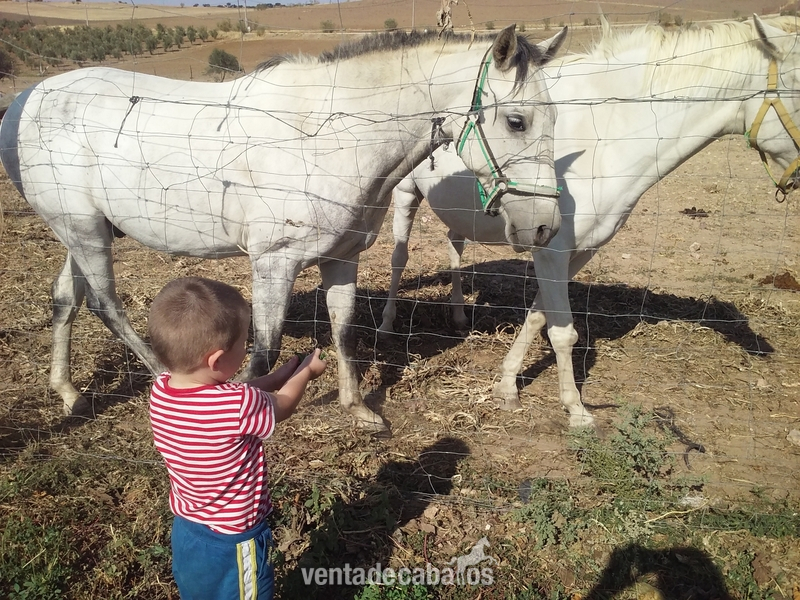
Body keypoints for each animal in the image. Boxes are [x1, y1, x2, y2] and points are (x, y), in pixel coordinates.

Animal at [0, 25, 568, 432]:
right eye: (516, 121)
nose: (544, 226)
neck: (328, 134)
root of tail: (28, 99)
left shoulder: (342, 257)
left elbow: (343, 329)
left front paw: (357, 409)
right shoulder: (275, 261)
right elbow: (265, 350)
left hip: (83, 229)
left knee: (65, 299)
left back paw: (69, 394)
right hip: (84, 231)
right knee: (106, 305)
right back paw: (159, 377)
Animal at [379, 15, 800, 427]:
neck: (608, 136)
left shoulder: (579, 251)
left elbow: (538, 317)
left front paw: (507, 386)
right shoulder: (551, 249)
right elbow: (563, 332)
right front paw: (576, 409)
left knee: (455, 246)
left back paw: (457, 315)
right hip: (405, 197)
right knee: (399, 259)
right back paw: (386, 325)